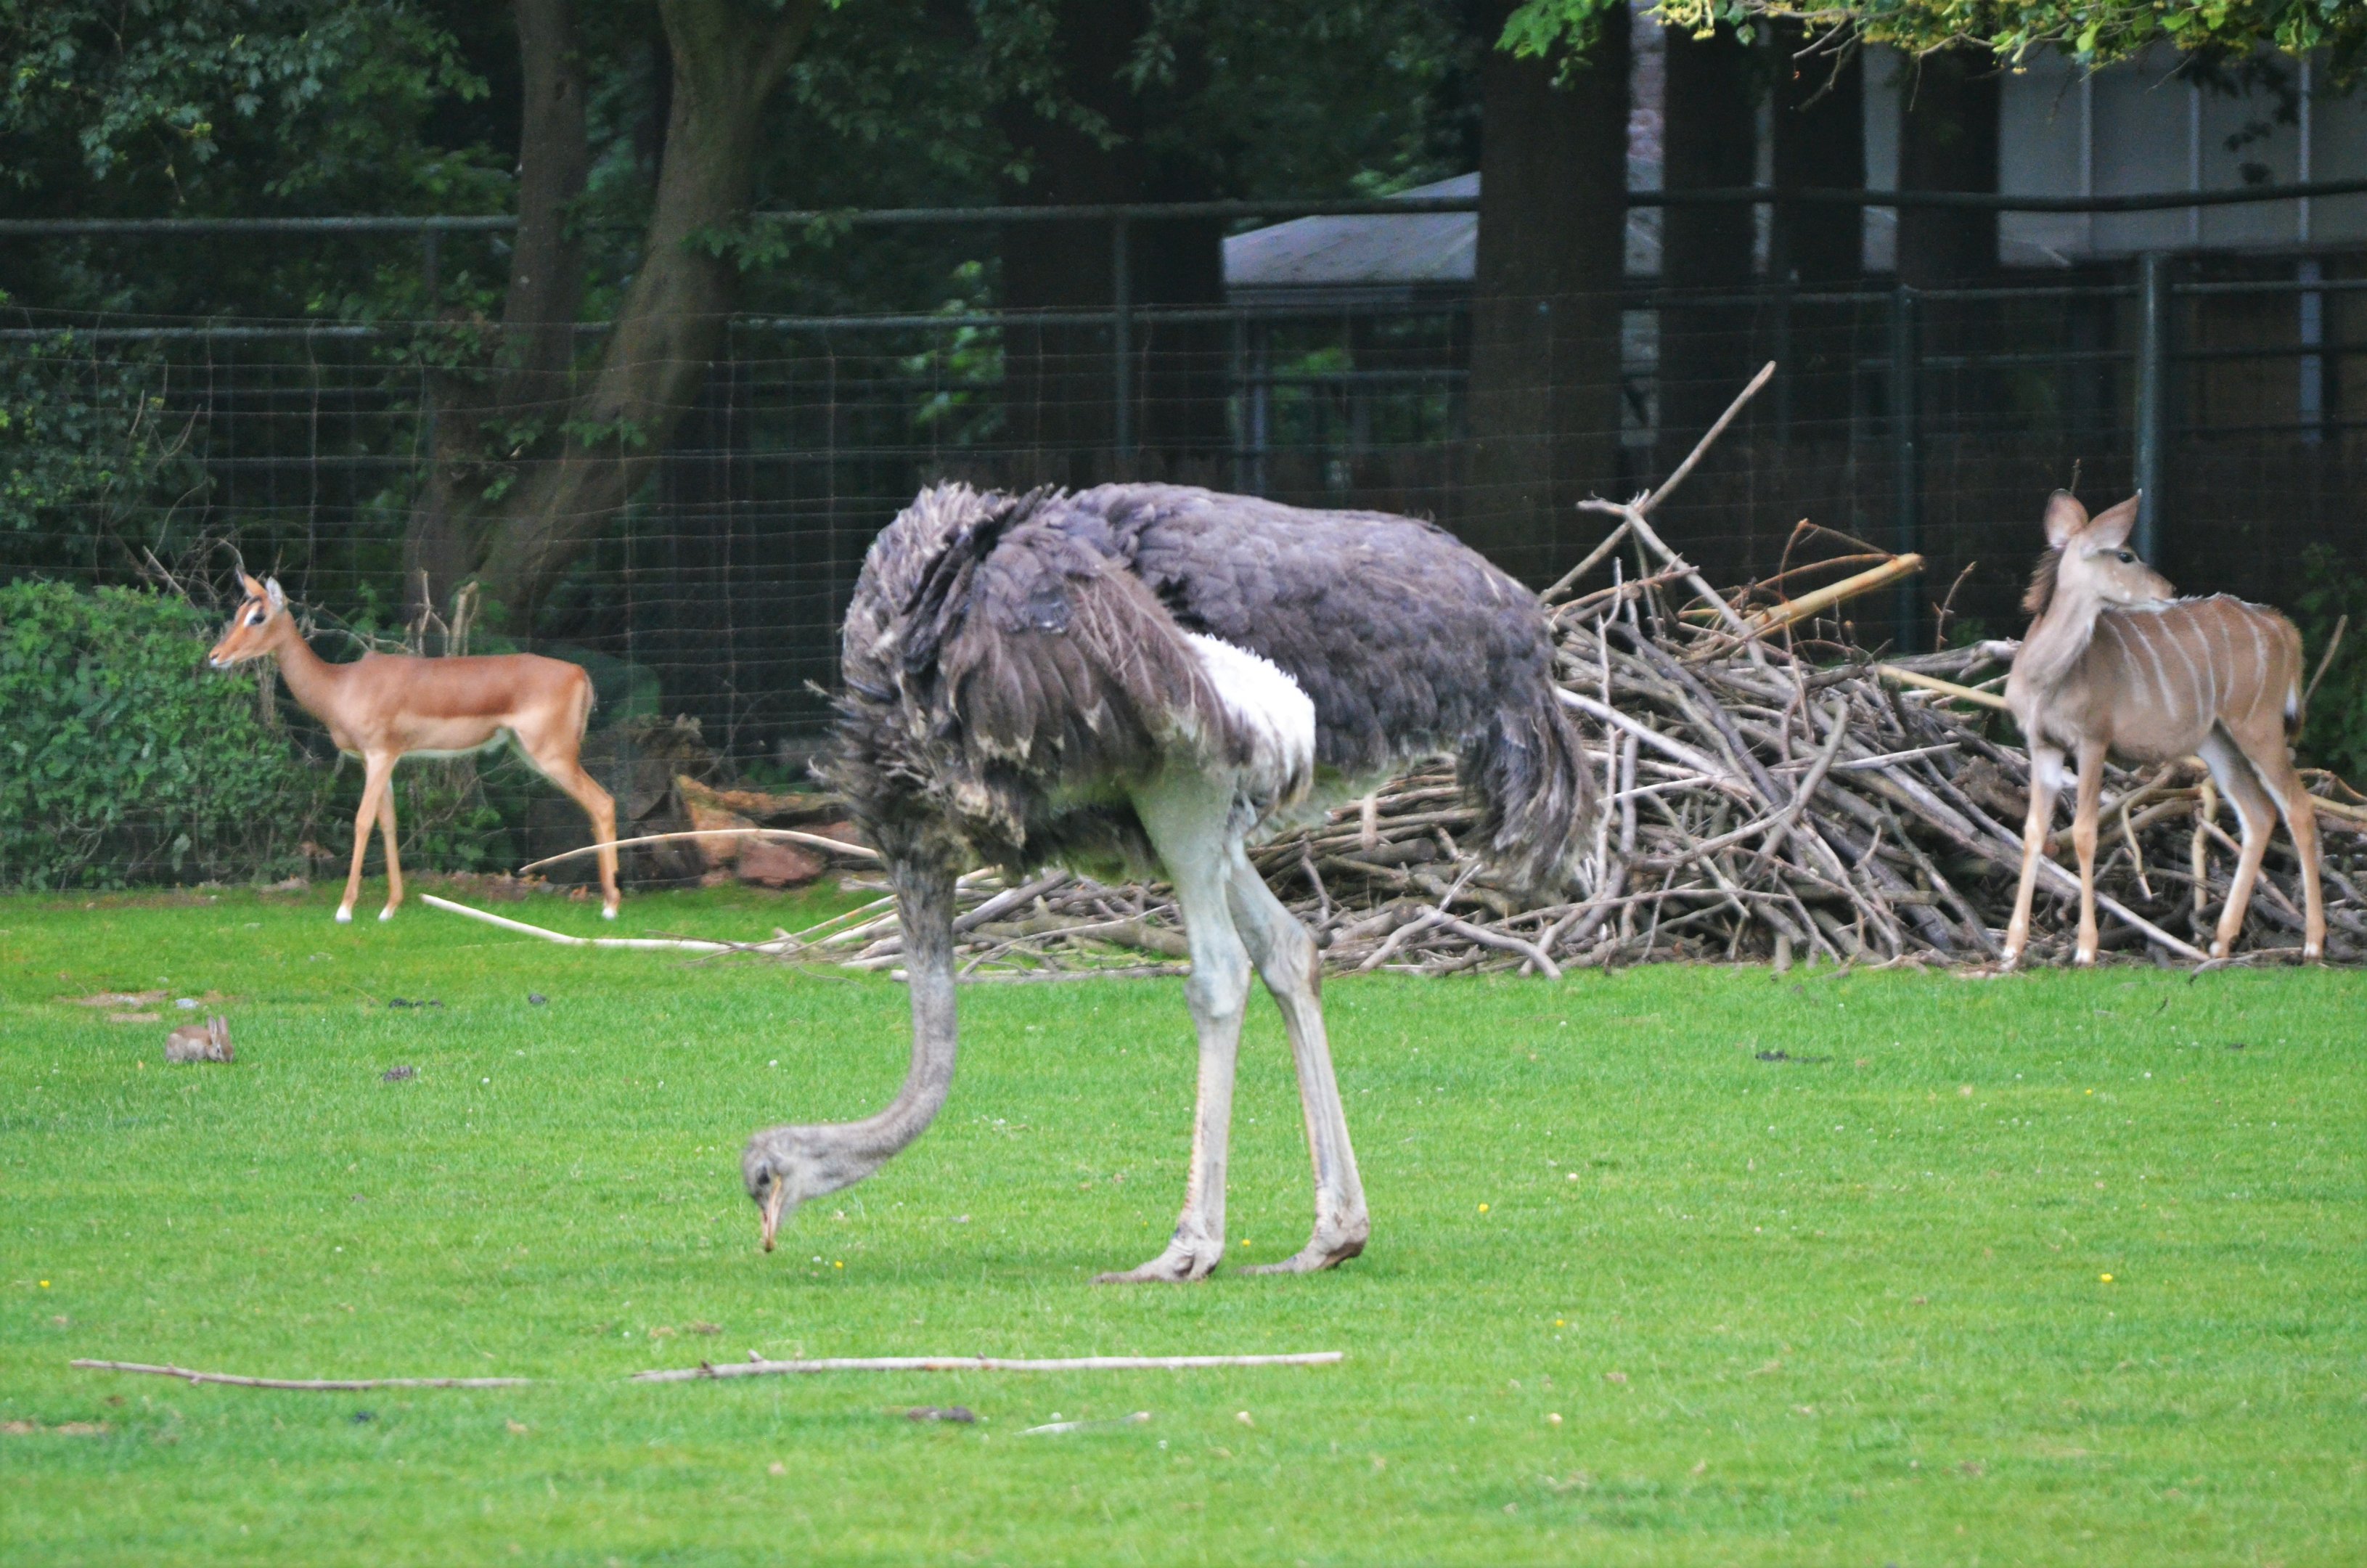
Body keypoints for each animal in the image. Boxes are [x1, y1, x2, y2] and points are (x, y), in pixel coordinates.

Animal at [206, 573, 620, 923]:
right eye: (238, 611)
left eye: (258, 615)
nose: (215, 656)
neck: (338, 687)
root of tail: (580, 674)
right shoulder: (380, 761)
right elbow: (388, 822)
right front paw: (390, 907)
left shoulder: (379, 755)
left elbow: (362, 821)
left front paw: (345, 908)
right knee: (596, 806)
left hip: (553, 755)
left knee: (603, 802)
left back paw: (611, 906)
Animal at [2002, 492, 2323, 967]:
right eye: (2125, 554)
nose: (2169, 590)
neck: (2048, 678)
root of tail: (2285, 629)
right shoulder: (2043, 744)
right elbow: (2033, 833)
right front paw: (2011, 947)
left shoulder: (2093, 740)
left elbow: (2084, 832)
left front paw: (2086, 949)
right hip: (2217, 740)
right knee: (2259, 815)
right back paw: (2219, 942)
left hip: (2258, 726)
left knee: (2298, 807)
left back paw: (2313, 944)